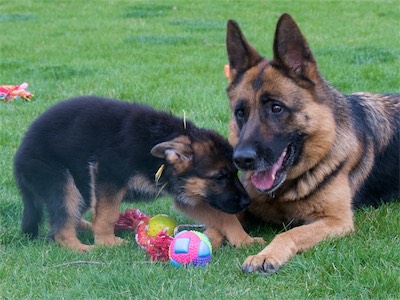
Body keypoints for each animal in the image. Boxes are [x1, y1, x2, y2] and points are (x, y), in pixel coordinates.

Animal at [14, 97, 260, 252]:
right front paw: (106, 242)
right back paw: (84, 248)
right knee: (60, 228)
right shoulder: (108, 175)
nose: (247, 202)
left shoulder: (188, 195)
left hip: (81, 188)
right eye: (219, 177)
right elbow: (107, 213)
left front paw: (244, 240)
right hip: (61, 182)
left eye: (235, 173)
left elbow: (225, 216)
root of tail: (18, 160)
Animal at [223, 13, 398, 274]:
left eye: (276, 108)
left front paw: (265, 255)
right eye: (240, 113)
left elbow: (290, 233)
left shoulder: (335, 221)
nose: (241, 159)